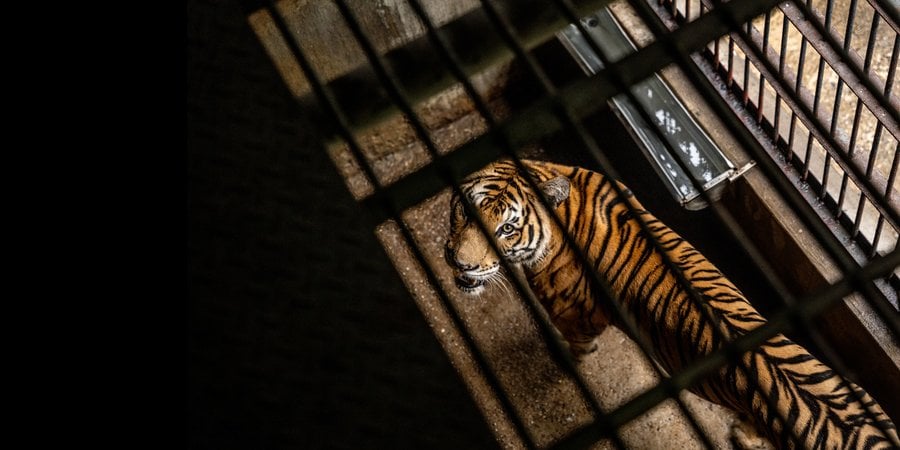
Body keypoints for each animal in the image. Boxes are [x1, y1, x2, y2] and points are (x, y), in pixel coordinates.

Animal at [444, 158, 899, 449]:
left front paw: (562, 355)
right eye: (464, 210)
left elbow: (576, 347)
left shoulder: (574, 315)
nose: (460, 262)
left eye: (507, 229)